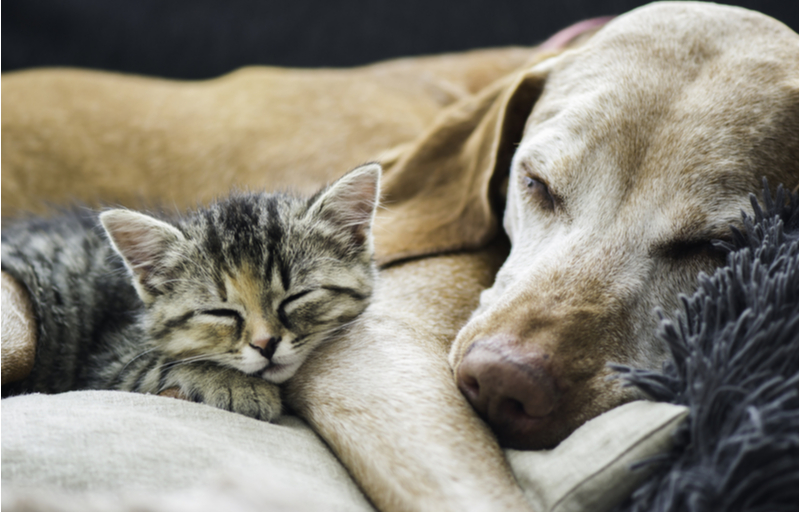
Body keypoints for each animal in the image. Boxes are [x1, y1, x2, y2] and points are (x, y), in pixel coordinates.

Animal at [0, 164, 382, 420]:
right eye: (220, 312)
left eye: (296, 298)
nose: (266, 344)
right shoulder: (108, 365)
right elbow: (165, 364)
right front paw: (239, 386)